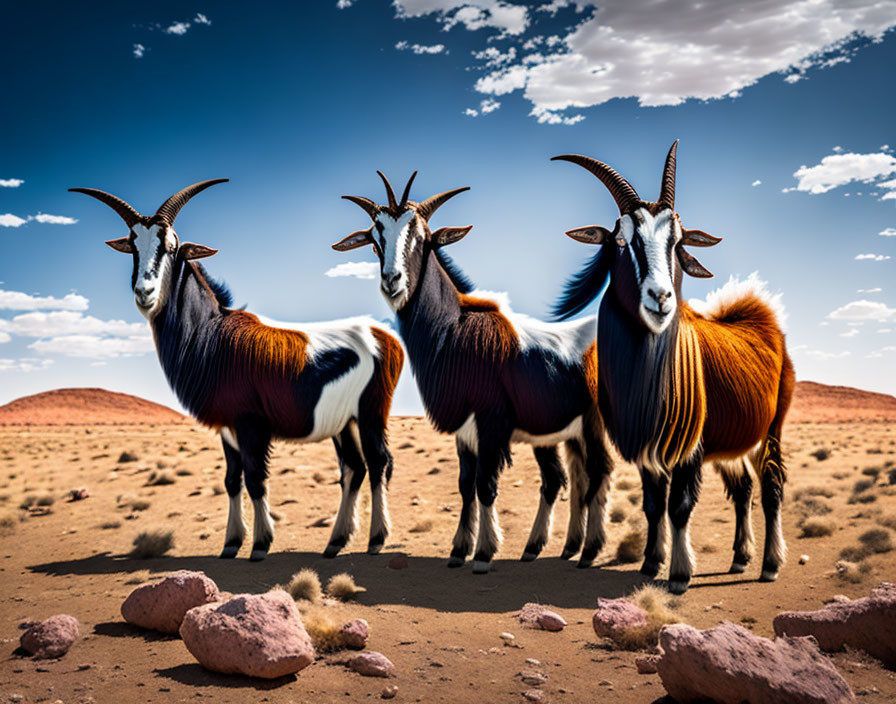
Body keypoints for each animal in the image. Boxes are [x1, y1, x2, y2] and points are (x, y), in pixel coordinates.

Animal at [72, 180, 404, 560]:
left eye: (171, 247)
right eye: (132, 247)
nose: (145, 292)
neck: (214, 333)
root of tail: (384, 337)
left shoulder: (250, 426)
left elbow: (256, 478)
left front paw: (260, 544)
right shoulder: (227, 429)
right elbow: (232, 480)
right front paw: (231, 543)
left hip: (370, 414)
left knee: (378, 463)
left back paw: (376, 540)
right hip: (343, 424)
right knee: (354, 468)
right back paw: (335, 542)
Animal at [332, 170, 612, 572]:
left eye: (423, 237)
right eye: (375, 238)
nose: (392, 281)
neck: (455, 327)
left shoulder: (490, 424)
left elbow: (485, 485)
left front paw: (483, 553)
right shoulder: (465, 430)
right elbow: (466, 484)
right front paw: (459, 550)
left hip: (592, 426)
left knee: (599, 472)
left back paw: (589, 551)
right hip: (557, 433)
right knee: (562, 478)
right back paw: (546, 547)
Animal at [552, 143, 800, 592]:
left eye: (677, 241)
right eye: (621, 239)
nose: (661, 298)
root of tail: (761, 320)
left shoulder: (689, 452)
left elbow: (680, 505)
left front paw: (681, 574)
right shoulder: (648, 448)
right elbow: (654, 504)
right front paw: (652, 563)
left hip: (770, 430)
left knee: (771, 486)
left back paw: (770, 565)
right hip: (734, 444)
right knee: (743, 488)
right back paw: (740, 558)